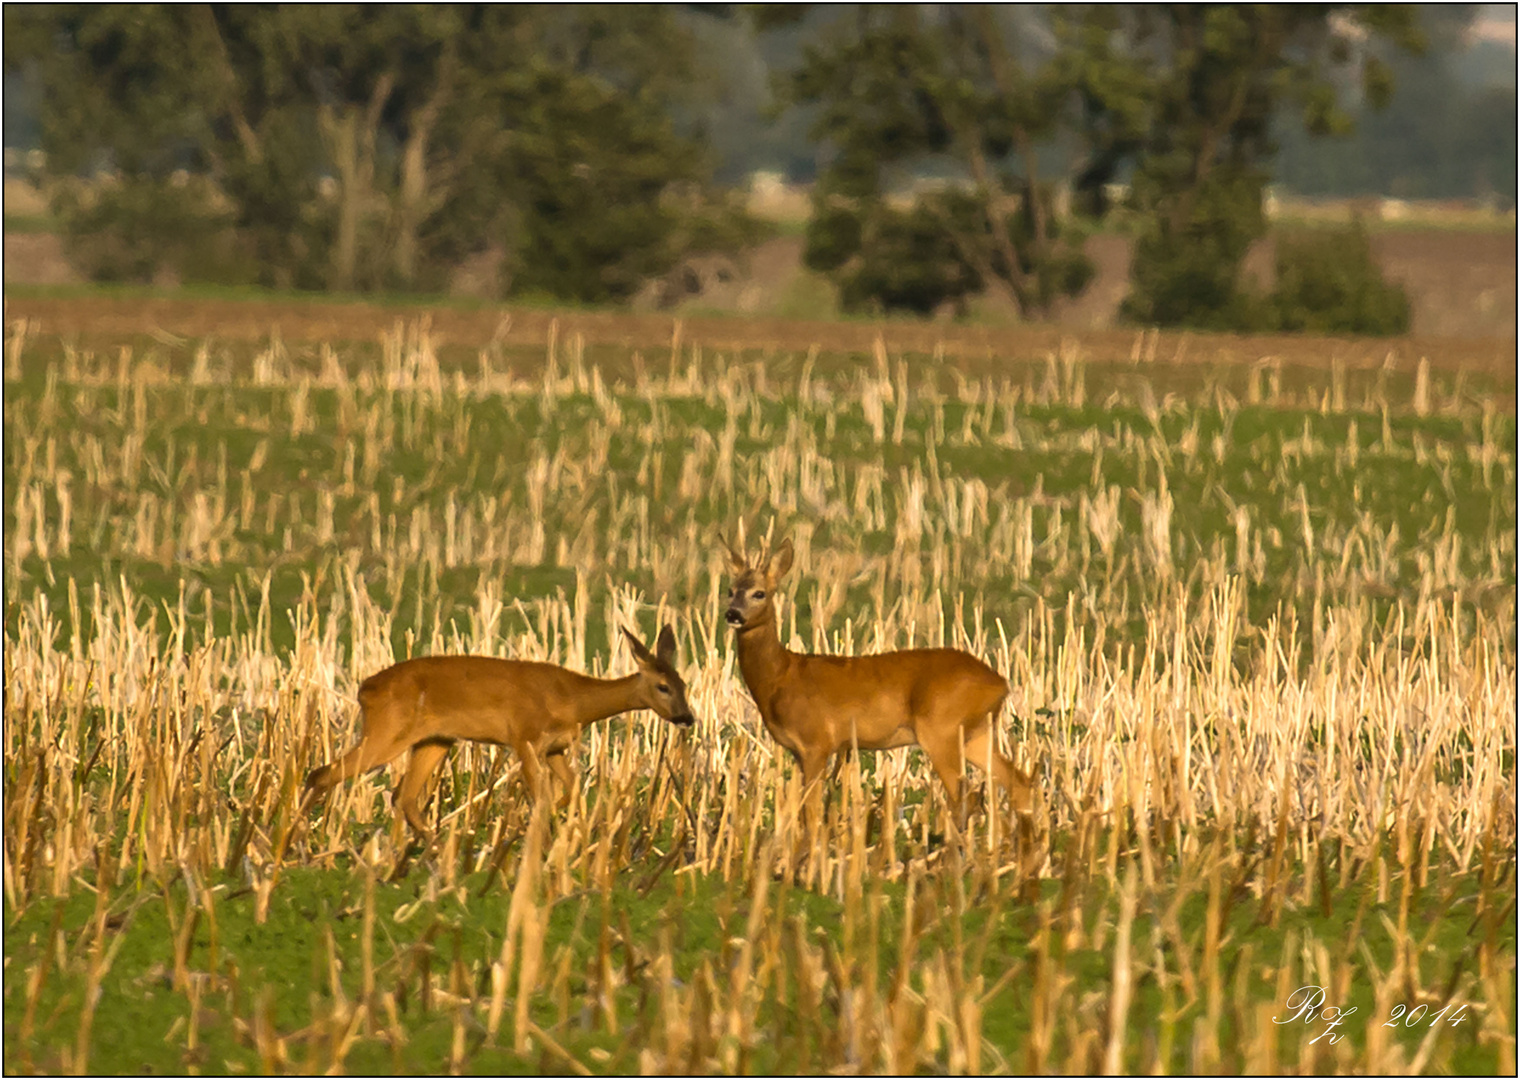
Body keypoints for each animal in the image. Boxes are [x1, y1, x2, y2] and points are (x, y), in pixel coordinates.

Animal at [302, 625, 696, 838]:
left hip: (434, 740)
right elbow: (542, 797)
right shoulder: (524, 737)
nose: (687, 717)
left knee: (404, 796)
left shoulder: (555, 747)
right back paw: (303, 836)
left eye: (684, 683)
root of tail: (365, 689)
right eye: (662, 686)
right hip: (387, 731)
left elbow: (572, 791)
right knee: (323, 773)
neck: (573, 698)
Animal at [720, 537, 1033, 826]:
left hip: (942, 729)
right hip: (976, 732)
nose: (732, 614)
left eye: (759, 593)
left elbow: (812, 812)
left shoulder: (817, 742)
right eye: (730, 591)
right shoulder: (799, 751)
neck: (780, 676)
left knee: (963, 796)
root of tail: (1000, 684)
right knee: (1017, 782)